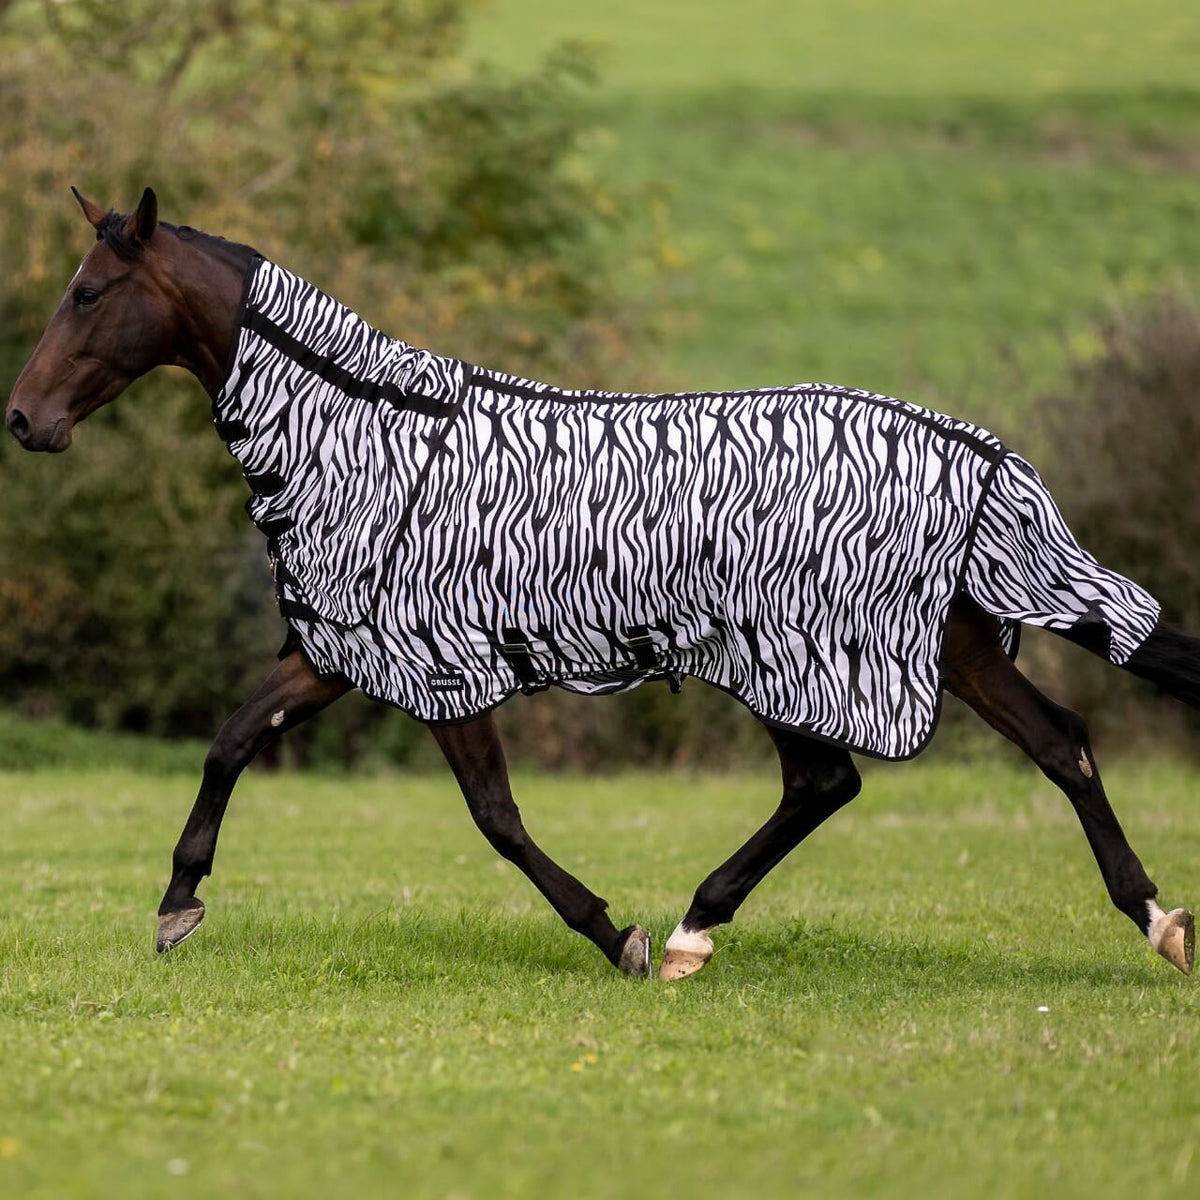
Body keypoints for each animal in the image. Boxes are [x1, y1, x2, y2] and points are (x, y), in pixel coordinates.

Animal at [5, 187, 1195, 982]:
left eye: (89, 293)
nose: (25, 419)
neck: (365, 431)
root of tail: (975, 454)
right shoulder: (339, 651)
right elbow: (231, 740)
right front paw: (177, 904)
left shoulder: (437, 665)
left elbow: (495, 816)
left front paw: (612, 933)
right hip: (943, 647)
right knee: (1048, 745)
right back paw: (1155, 921)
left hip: (810, 655)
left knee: (844, 779)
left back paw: (688, 932)